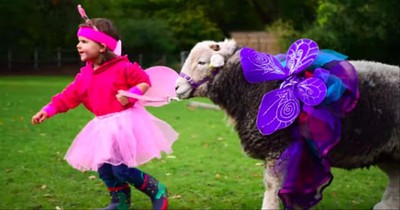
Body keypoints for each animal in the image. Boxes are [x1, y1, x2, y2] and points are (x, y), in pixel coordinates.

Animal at [175, 38, 400, 209]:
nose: (176, 88)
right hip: (385, 151)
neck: (248, 88)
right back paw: (387, 206)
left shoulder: (278, 147)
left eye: (202, 62)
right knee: (395, 177)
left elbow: (272, 185)